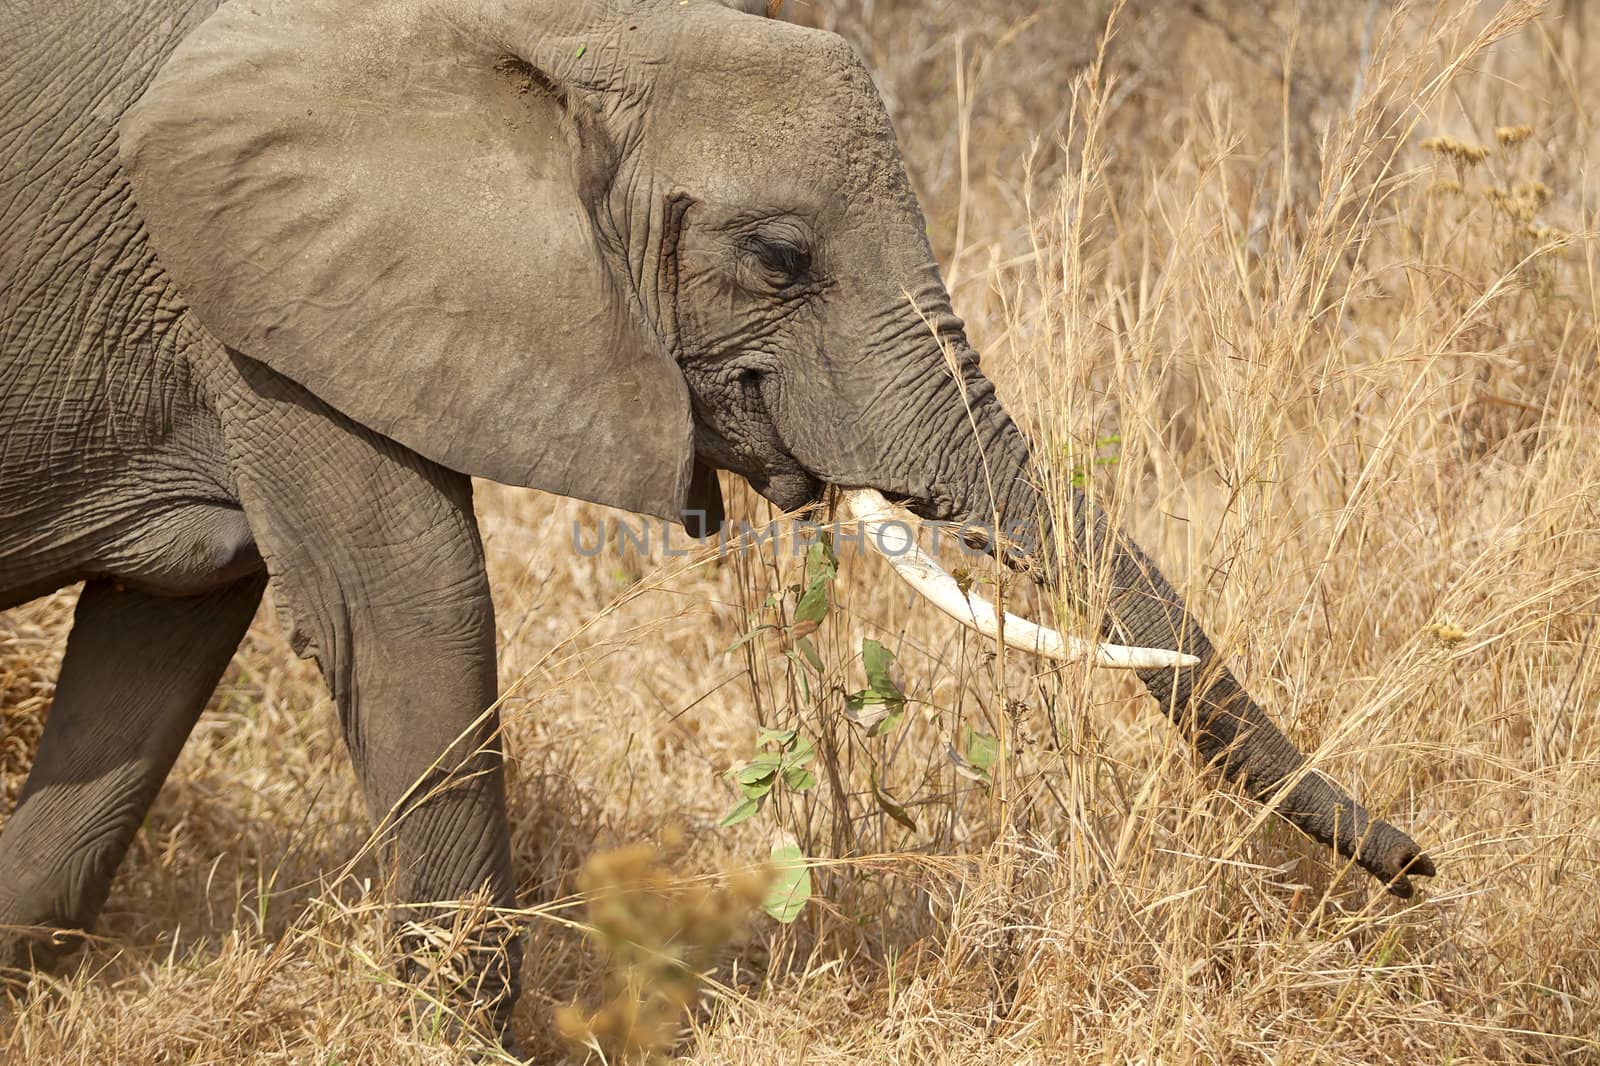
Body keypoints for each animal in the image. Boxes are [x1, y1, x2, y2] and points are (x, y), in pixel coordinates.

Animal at [0, 0, 1427, 1049]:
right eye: (781, 257)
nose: (1420, 873)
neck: (547, 35)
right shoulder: (258, 298)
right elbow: (414, 615)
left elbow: (163, 644)